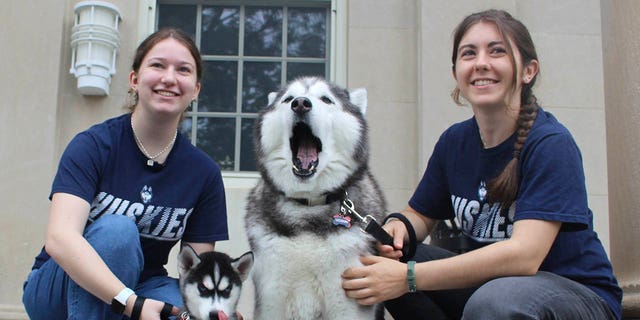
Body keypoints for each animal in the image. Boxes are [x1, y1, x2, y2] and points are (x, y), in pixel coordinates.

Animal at [244, 76, 384, 318]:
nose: (300, 103)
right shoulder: (271, 297)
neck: (308, 205)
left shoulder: (348, 298)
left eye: (326, 99)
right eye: (288, 99)